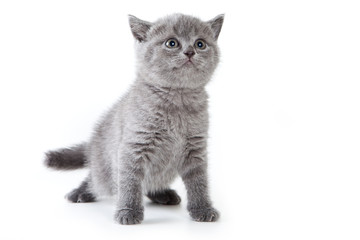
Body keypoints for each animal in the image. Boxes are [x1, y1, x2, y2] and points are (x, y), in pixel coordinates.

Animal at [44, 13, 224, 224]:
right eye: (171, 43)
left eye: (200, 44)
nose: (190, 52)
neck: (177, 101)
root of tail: (93, 142)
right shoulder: (133, 146)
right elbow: (130, 182)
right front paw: (128, 211)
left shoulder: (196, 149)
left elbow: (199, 182)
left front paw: (203, 208)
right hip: (105, 168)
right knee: (97, 179)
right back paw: (80, 192)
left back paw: (163, 194)